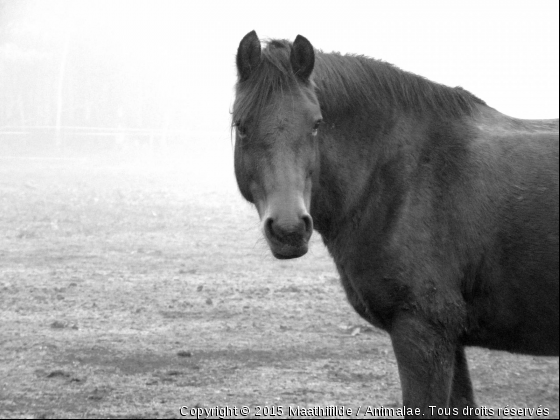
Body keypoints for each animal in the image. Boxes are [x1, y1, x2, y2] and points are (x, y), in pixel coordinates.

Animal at [230, 31, 556, 418]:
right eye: (242, 126)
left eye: (316, 124)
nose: (289, 229)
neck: (401, 175)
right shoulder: (450, 340)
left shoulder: (423, 332)